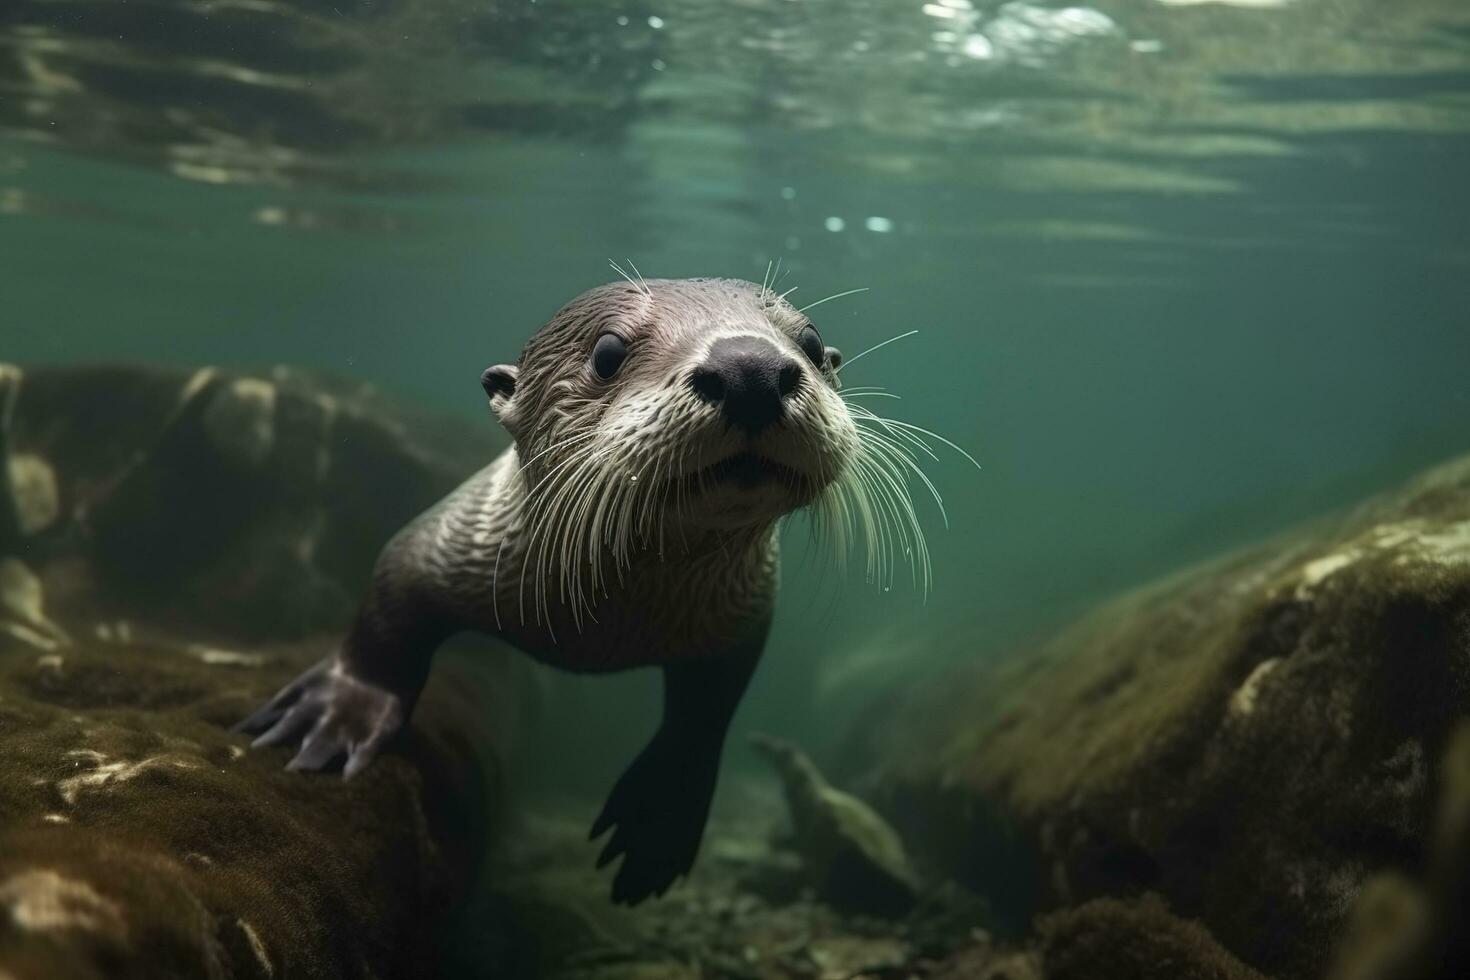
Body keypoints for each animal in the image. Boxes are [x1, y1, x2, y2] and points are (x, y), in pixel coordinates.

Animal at [233, 274, 864, 905]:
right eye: (607, 353)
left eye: (812, 342)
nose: (750, 367)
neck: (610, 626)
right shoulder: (455, 538)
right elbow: (390, 595)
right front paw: (335, 716)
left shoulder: (743, 609)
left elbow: (707, 710)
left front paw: (658, 818)